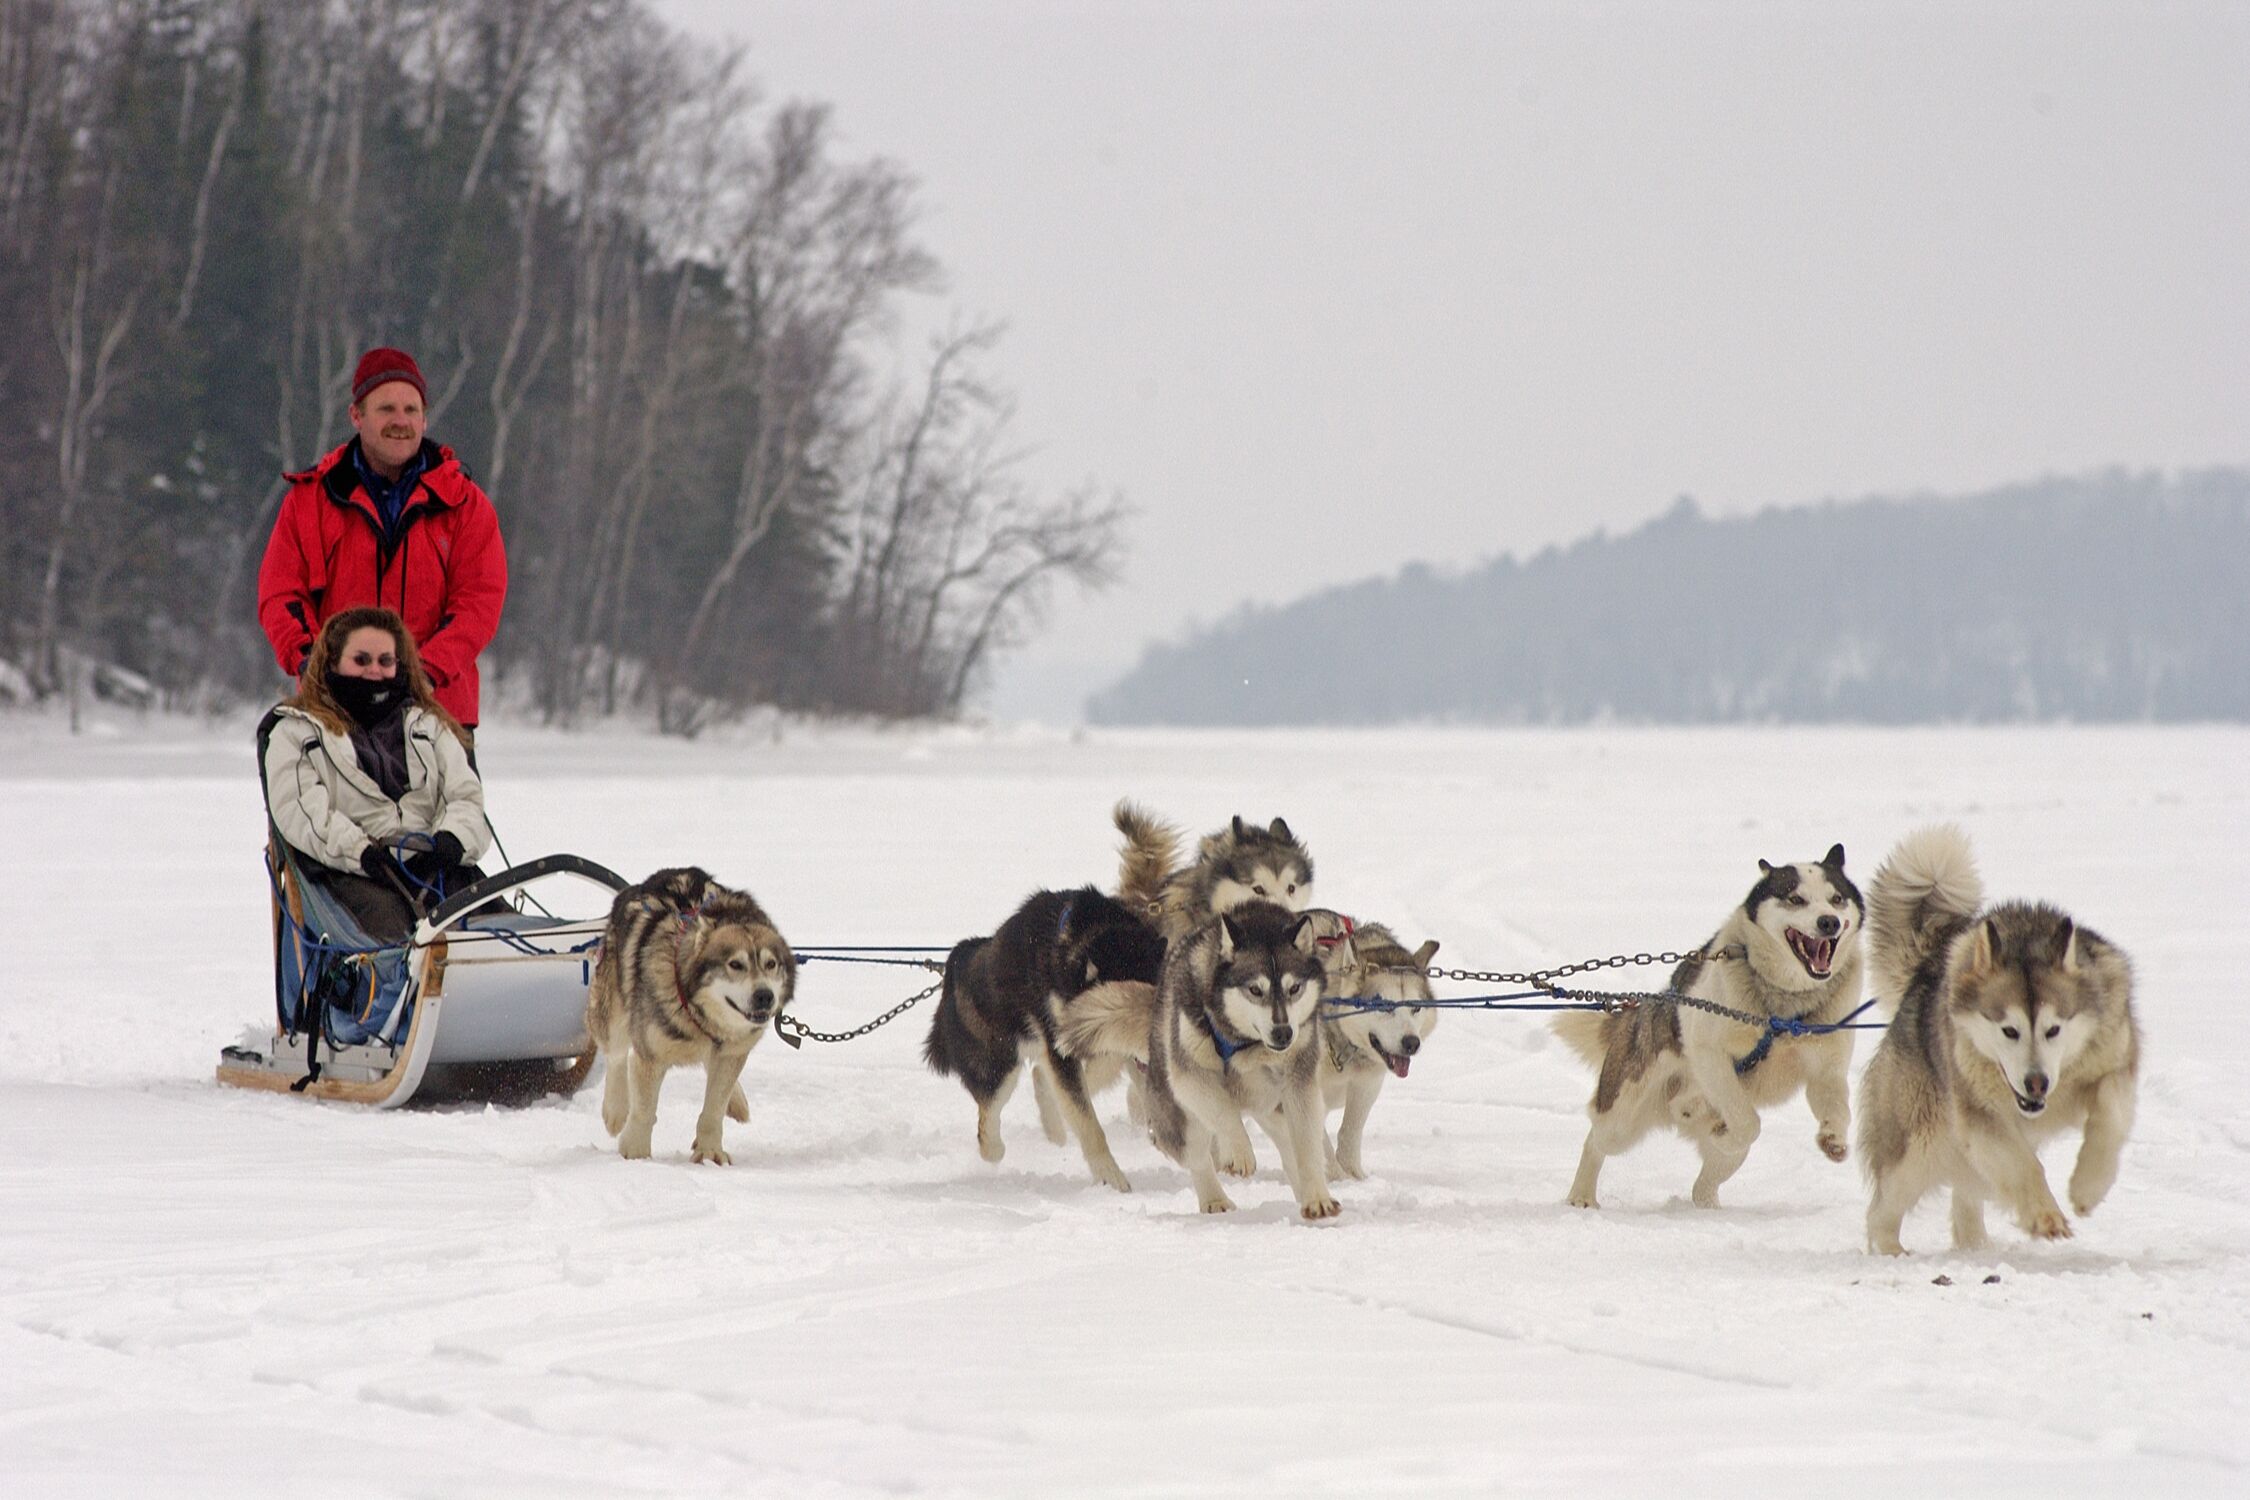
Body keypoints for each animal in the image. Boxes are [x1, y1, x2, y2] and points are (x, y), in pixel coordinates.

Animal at [585, 868, 796, 1160]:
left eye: (771, 964)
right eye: (735, 964)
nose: (765, 996)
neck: (696, 1012)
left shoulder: (730, 1052)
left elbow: (713, 1110)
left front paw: (710, 1154)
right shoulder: (650, 1056)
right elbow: (644, 1110)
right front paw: (636, 1155)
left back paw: (737, 1102)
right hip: (612, 1016)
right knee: (615, 1055)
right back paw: (615, 1111)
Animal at [918, 886, 1161, 1187]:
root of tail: (957, 962)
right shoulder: (1064, 1043)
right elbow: (1088, 1124)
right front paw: (1111, 1178)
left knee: (1042, 1077)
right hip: (999, 1064)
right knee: (989, 1115)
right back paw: (993, 1148)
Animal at [1557, 850, 1872, 1214]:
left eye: (1836, 899)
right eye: (1796, 899)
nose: (1829, 922)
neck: (1783, 1010)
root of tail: (1648, 1006)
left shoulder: (1826, 1069)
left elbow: (1838, 1109)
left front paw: (1834, 1139)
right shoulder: (1710, 1053)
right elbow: (1748, 1123)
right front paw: (1729, 1130)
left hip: (1719, 1153)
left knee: (1705, 1183)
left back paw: (1706, 1205)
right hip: (1623, 1118)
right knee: (1596, 1142)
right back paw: (1581, 1195)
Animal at [1854, 827, 2133, 1259]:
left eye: (2054, 1029)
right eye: (2009, 1030)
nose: (2036, 1083)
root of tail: (1926, 969)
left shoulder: (2114, 1061)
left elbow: (2112, 1113)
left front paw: (2088, 1187)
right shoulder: (1979, 1113)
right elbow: (2022, 1165)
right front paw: (2045, 1216)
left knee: (1967, 1193)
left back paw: (1975, 1248)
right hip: (1925, 1140)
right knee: (1883, 1205)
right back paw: (1893, 1252)